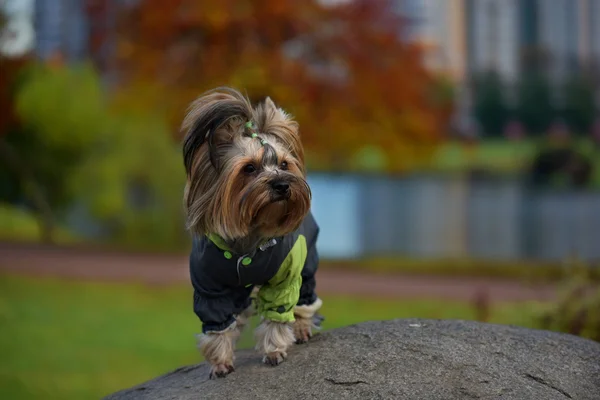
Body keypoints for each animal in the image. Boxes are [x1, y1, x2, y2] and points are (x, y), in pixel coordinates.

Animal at [180, 86, 324, 378]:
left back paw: (302, 327)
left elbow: (278, 312)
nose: (282, 185)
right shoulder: (210, 288)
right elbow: (217, 322)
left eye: (284, 164)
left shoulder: (285, 277)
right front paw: (220, 362)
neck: (250, 237)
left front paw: (275, 350)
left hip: (307, 262)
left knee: (305, 297)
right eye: (249, 168)